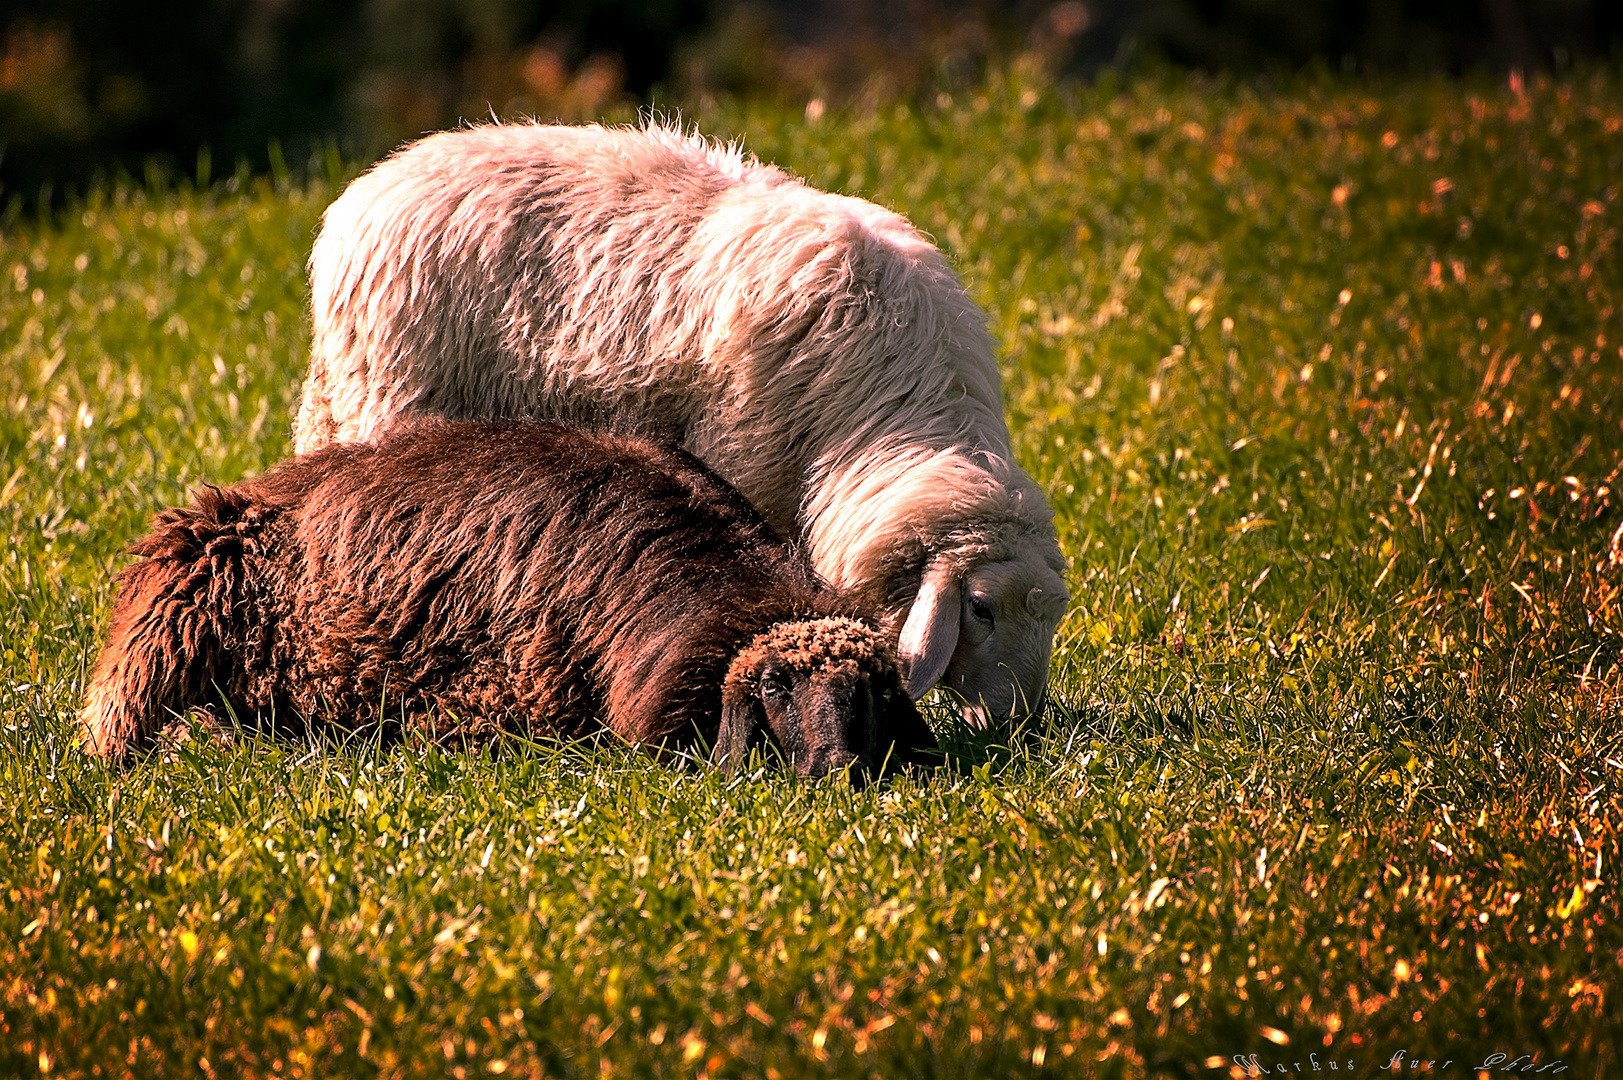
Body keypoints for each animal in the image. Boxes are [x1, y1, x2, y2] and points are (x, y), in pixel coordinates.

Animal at [298, 120, 1071, 724]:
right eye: (979, 609)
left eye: (1054, 614)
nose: (1019, 728)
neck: (895, 405)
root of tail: (369, 188)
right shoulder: (747, 458)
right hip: (386, 392)